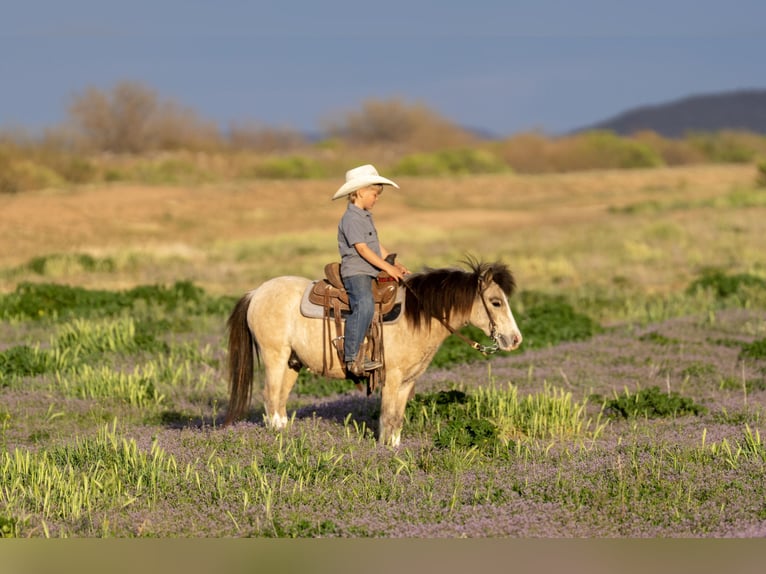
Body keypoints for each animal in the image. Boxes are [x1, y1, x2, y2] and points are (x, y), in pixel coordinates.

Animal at [223, 259, 523, 447]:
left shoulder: (408, 381)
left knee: (281, 399)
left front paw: (395, 448)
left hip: (291, 363)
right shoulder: (391, 377)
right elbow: (388, 416)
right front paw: (384, 451)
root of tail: (256, 292)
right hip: (274, 356)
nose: (515, 339)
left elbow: (398, 419)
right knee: (270, 397)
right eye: (496, 302)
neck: (417, 315)